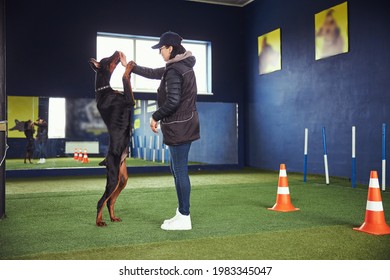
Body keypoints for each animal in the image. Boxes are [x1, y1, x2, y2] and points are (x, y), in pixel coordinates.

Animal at [88, 51, 136, 226]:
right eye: (107, 59)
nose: (117, 52)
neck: (104, 91)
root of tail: (106, 160)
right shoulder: (129, 100)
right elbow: (124, 77)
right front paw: (129, 66)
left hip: (122, 179)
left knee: (110, 201)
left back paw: (113, 217)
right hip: (114, 177)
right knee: (101, 201)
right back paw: (99, 221)